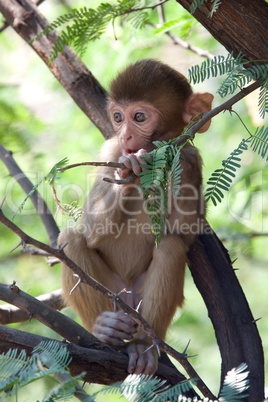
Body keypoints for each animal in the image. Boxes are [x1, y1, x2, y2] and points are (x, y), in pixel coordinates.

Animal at [58, 59, 214, 376]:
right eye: (118, 117)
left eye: (139, 117)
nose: (125, 136)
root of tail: (127, 296)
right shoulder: (110, 150)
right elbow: (90, 228)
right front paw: (128, 168)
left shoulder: (191, 153)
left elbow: (184, 232)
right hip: (111, 292)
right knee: (70, 238)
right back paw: (104, 329)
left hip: (138, 304)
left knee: (170, 246)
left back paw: (143, 345)